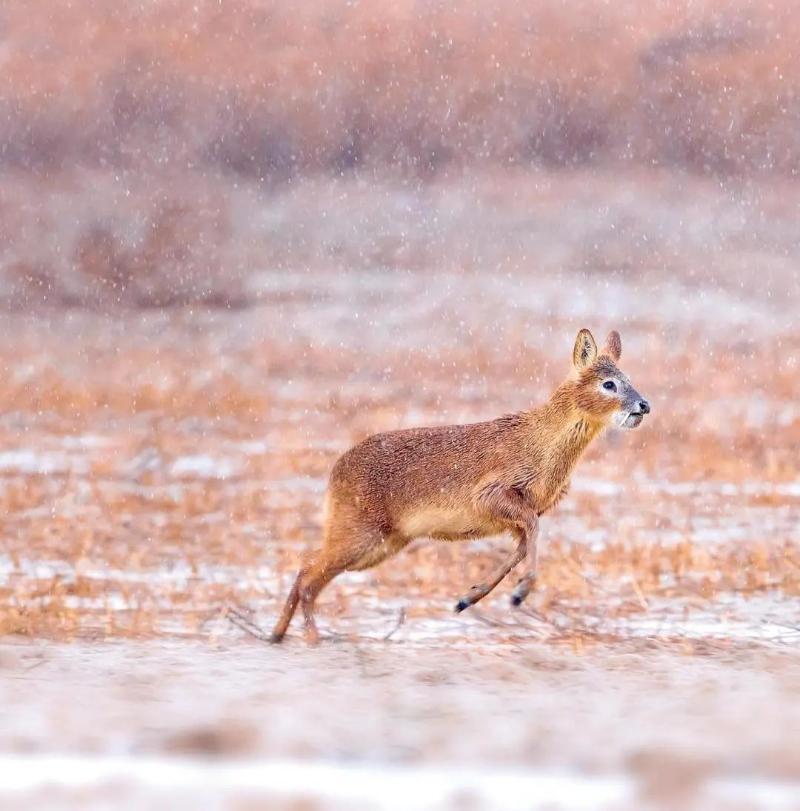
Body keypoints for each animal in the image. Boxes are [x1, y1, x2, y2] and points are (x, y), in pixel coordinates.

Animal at [272, 326, 648, 644]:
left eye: (629, 378)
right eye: (609, 384)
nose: (644, 405)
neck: (541, 446)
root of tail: (335, 474)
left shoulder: (517, 515)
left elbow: (521, 548)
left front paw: (468, 599)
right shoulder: (492, 495)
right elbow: (532, 534)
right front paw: (519, 593)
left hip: (382, 543)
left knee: (307, 569)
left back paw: (277, 635)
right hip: (360, 533)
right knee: (308, 576)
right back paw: (310, 638)